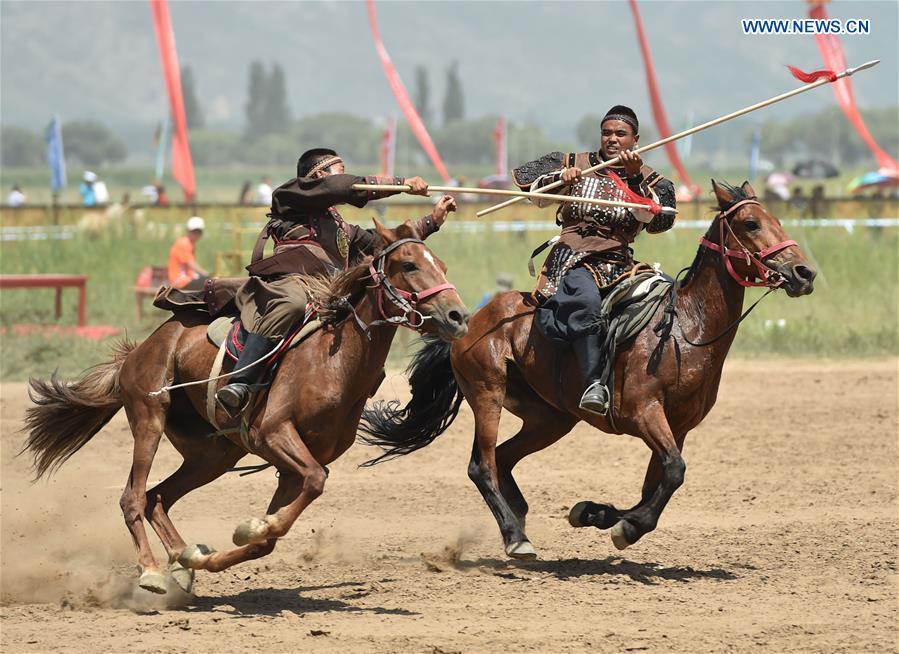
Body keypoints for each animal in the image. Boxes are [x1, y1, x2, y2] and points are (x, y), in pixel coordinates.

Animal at [21, 220, 472, 596]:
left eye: (442, 264)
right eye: (409, 265)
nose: (458, 316)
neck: (332, 359)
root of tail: (137, 351)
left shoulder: (290, 466)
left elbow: (270, 536)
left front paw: (220, 547)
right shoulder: (273, 434)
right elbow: (314, 483)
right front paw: (251, 527)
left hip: (213, 454)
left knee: (157, 497)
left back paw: (182, 559)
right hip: (150, 418)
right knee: (132, 497)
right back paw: (151, 571)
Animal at [358, 182, 816, 560]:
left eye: (778, 220)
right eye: (751, 223)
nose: (804, 272)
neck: (684, 329)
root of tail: (471, 318)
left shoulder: (679, 426)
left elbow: (658, 483)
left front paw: (595, 514)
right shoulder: (646, 414)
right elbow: (673, 472)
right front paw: (624, 527)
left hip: (551, 418)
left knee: (503, 458)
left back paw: (519, 517)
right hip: (488, 393)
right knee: (482, 465)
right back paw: (515, 537)